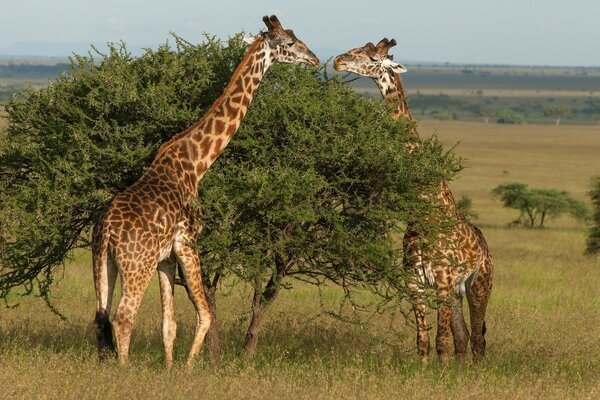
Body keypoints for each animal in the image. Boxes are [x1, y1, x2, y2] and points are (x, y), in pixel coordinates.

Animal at [92, 15, 318, 368]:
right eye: (291, 43)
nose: (315, 59)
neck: (196, 164)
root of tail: (106, 232)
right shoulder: (188, 242)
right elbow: (206, 314)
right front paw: (187, 368)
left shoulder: (166, 257)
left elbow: (169, 323)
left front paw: (169, 369)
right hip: (136, 264)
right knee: (123, 317)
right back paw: (123, 370)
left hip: (103, 263)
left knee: (101, 317)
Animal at [332, 39, 492, 362]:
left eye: (372, 57)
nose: (338, 61)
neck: (424, 209)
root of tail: (487, 250)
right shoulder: (415, 283)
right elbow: (423, 340)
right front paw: (426, 369)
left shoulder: (442, 282)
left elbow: (441, 340)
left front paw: (440, 371)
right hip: (457, 292)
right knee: (464, 338)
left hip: (479, 285)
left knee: (478, 340)